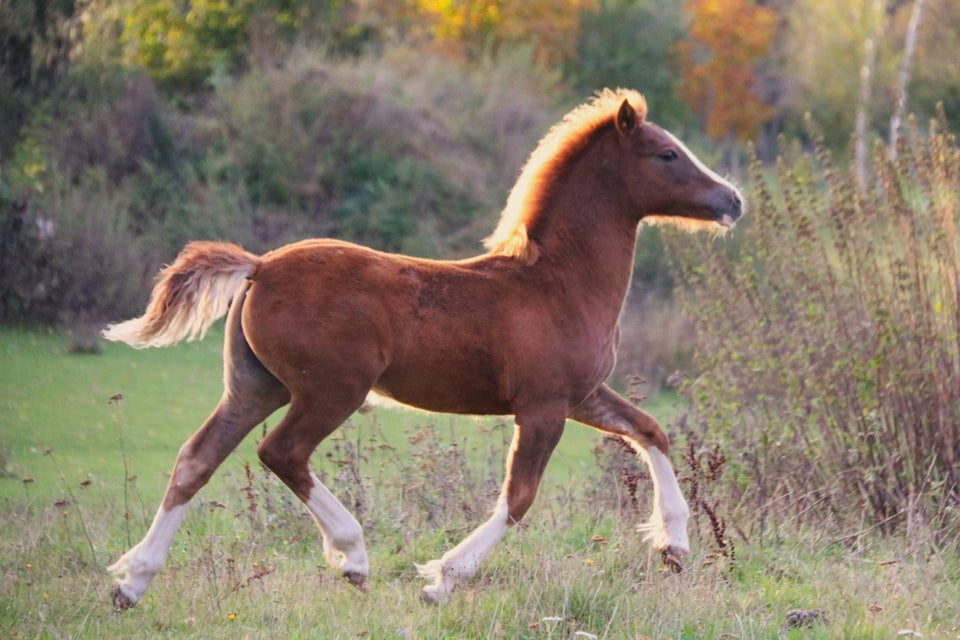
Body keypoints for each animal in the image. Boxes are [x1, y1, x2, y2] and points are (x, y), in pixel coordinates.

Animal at [103, 90, 744, 608]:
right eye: (667, 154)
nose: (732, 200)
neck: (558, 282)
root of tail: (258, 266)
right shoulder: (543, 407)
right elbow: (519, 497)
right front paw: (442, 580)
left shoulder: (581, 395)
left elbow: (651, 431)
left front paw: (674, 547)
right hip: (330, 389)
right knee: (280, 453)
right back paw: (353, 557)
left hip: (256, 386)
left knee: (197, 459)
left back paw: (132, 582)